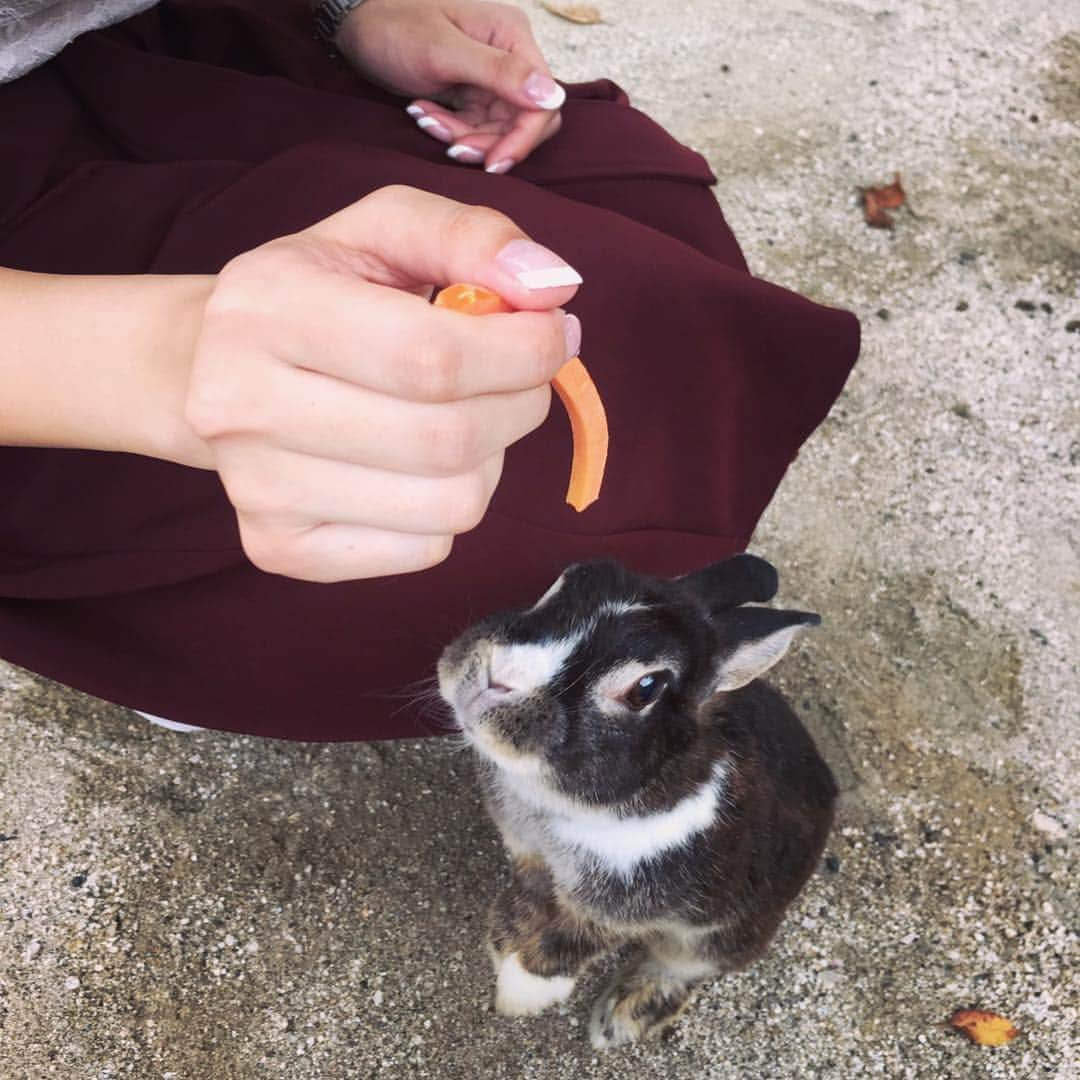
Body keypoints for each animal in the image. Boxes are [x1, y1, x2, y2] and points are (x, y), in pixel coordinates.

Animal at [436, 557, 833, 1045]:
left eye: (645, 688)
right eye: (566, 581)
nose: (495, 679)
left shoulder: (619, 910)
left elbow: (568, 944)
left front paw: (519, 993)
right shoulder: (531, 857)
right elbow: (529, 899)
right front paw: (504, 940)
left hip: (720, 933)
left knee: (686, 966)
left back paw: (624, 1017)